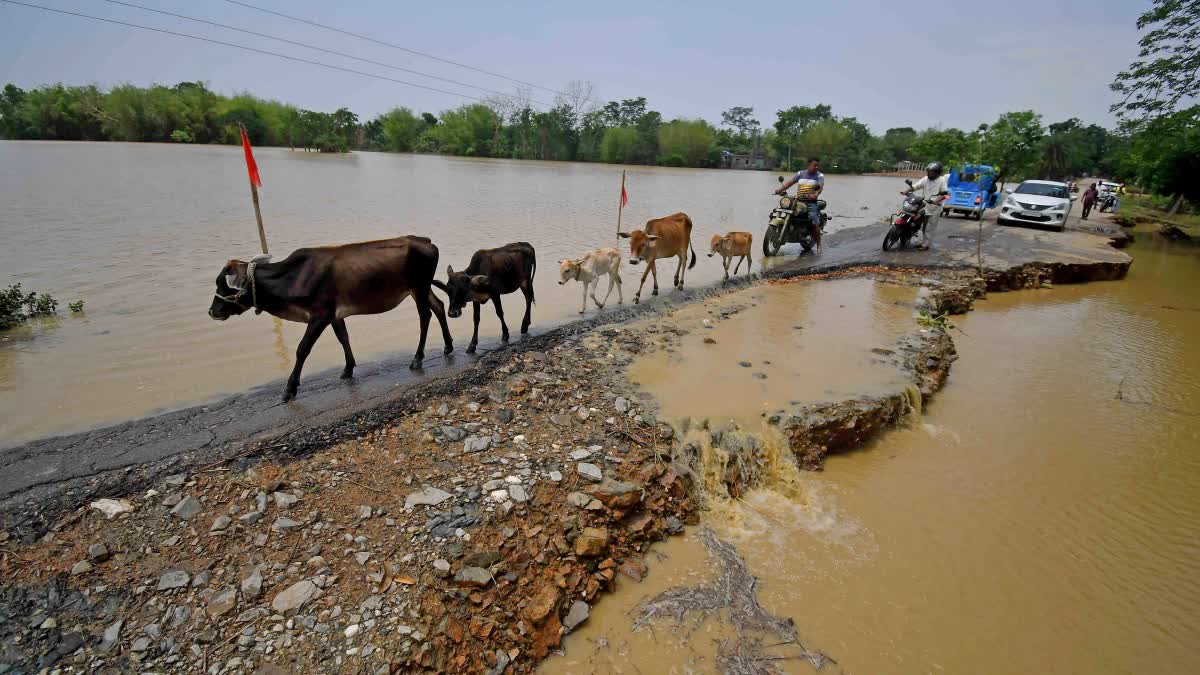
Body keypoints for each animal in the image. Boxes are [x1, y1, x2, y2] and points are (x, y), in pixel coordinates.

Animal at [208, 235, 451, 398]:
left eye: (222, 284)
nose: (212, 312)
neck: (293, 278)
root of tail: (424, 240)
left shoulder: (320, 315)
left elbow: (302, 349)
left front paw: (290, 388)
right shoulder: (335, 314)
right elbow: (343, 337)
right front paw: (348, 369)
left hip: (419, 287)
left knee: (425, 317)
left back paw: (417, 358)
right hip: (421, 288)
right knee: (439, 307)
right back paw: (447, 346)